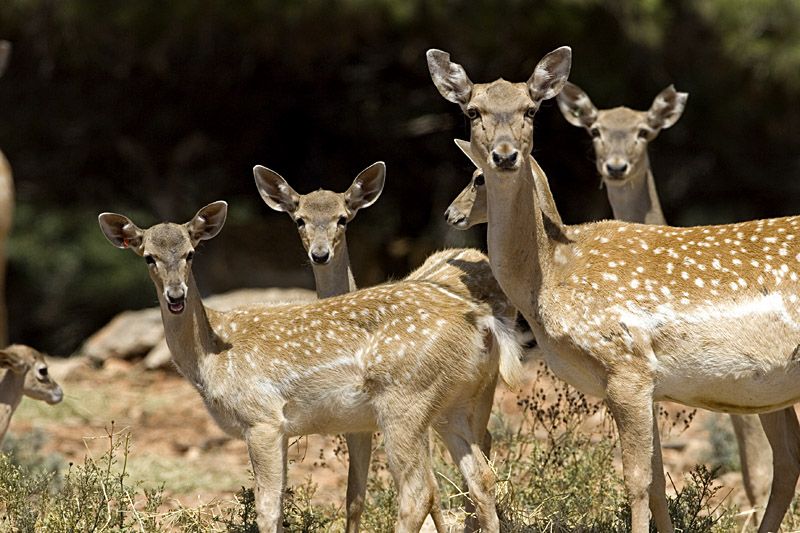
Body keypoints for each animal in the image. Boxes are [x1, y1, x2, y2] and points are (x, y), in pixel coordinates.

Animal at [98, 201, 524, 532]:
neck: (212, 357)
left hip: (406, 400)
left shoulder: (262, 417)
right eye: (149, 257)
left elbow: (268, 508)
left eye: (190, 253)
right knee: (481, 477)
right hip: (451, 405)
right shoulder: (282, 428)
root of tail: (482, 320)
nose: (175, 296)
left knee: (419, 491)